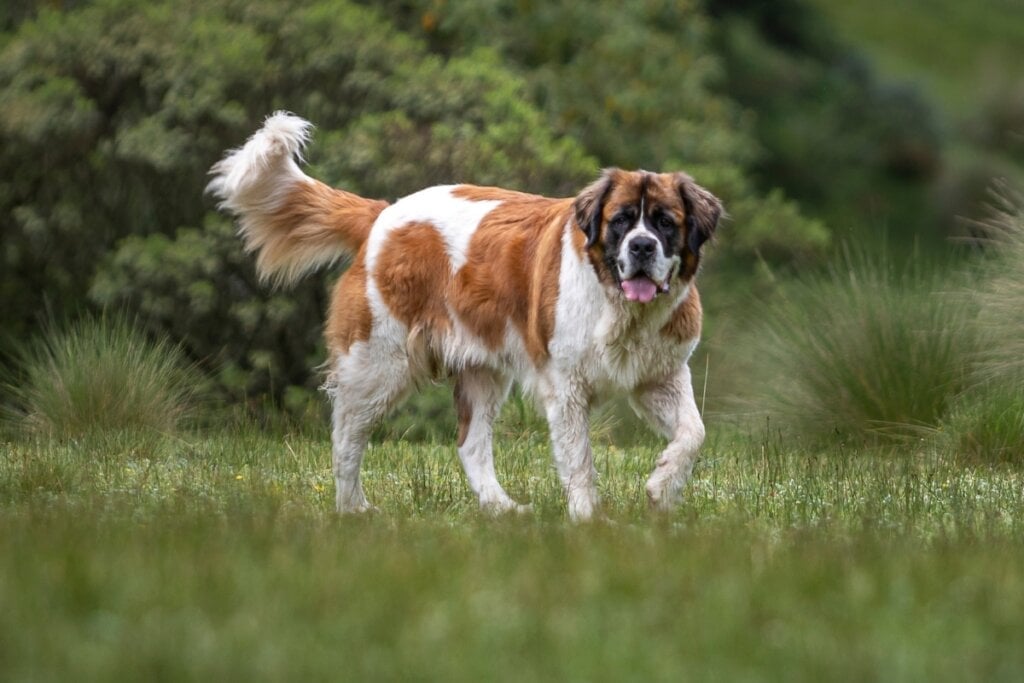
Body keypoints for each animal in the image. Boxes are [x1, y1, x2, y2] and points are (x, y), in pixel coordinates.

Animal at [205, 112, 720, 520]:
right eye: (621, 221)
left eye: (665, 223)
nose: (641, 246)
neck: (620, 308)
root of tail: (382, 215)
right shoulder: (566, 389)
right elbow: (580, 461)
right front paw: (590, 520)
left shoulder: (661, 376)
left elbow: (694, 432)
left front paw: (661, 489)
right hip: (379, 364)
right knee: (347, 434)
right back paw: (353, 508)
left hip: (482, 370)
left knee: (470, 444)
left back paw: (501, 509)